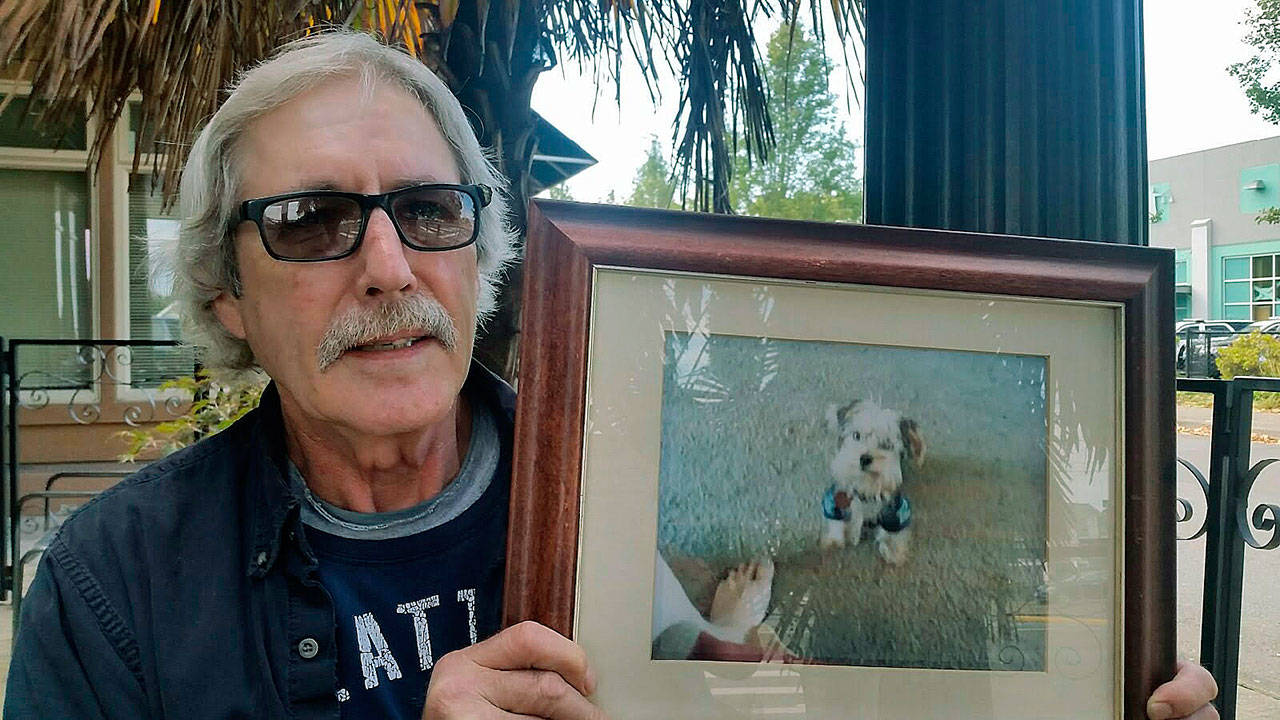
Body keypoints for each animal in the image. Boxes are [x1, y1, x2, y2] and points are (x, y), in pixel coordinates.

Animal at [824, 397, 926, 561]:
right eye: (857, 435)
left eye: (886, 444)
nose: (864, 458)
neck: (866, 482)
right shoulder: (836, 498)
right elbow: (836, 520)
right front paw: (834, 541)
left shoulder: (896, 509)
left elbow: (892, 530)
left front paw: (892, 550)